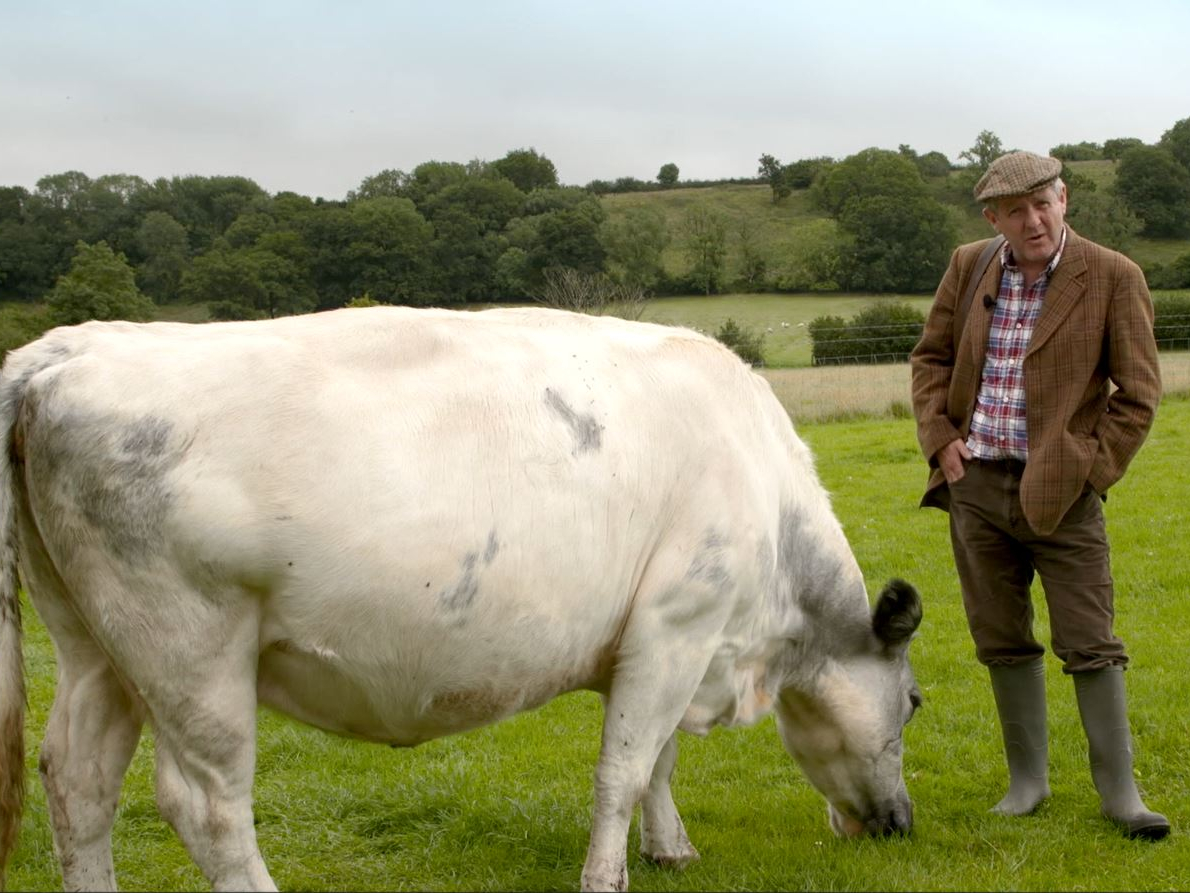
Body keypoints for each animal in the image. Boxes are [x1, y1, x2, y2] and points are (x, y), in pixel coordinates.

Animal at [0, 305, 922, 892]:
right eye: (913, 702)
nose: (900, 823)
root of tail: (64, 350)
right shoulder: (677, 625)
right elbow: (624, 769)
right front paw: (607, 874)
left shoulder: (668, 644)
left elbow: (658, 760)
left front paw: (671, 849)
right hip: (191, 651)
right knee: (208, 808)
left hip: (96, 649)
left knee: (77, 778)